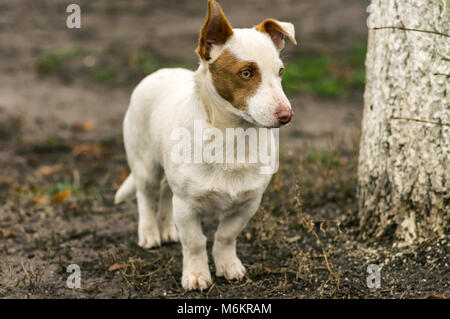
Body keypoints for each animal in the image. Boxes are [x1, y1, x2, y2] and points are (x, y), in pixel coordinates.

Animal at [114, 0, 296, 292]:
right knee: (146, 195)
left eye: (280, 72)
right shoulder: (186, 206)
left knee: (165, 193)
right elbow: (195, 242)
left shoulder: (248, 204)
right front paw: (197, 275)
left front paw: (227, 265)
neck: (232, 137)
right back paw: (150, 232)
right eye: (246, 73)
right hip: (145, 165)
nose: (286, 116)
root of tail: (161, 71)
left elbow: (225, 236)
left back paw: (167, 229)